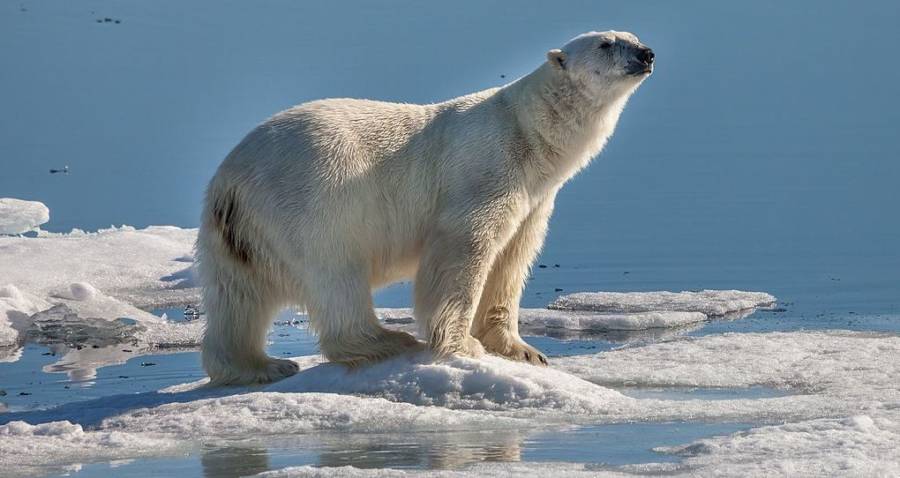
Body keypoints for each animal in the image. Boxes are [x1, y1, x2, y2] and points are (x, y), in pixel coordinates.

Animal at [199, 30, 652, 384]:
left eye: (632, 36)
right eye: (606, 43)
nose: (646, 54)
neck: (527, 134)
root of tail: (230, 180)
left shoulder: (535, 200)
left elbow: (512, 259)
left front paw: (523, 350)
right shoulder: (486, 170)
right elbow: (464, 246)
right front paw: (461, 344)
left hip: (239, 233)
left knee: (237, 296)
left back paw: (260, 365)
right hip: (312, 199)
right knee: (335, 272)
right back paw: (387, 340)